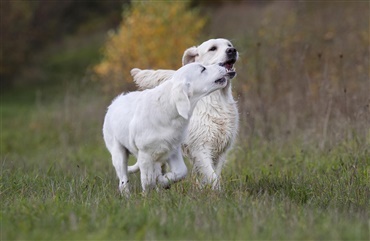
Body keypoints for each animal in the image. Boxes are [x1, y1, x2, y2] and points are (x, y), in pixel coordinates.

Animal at [102, 62, 236, 194]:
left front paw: (162, 181)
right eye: (202, 69)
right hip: (118, 152)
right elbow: (147, 181)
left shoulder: (173, 149)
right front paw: (149, 195)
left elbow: (181, 171)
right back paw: (127, 195)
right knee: (123, 180)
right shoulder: (145, 154)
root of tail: (114, 102)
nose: (222, 65)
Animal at [128, 38, 240, 190]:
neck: (216, 98)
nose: (232, 50)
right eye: (213, 48)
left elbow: (213, 174)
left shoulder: (221, 149)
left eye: (229, 45)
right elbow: (212, 177)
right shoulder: (200, 147)